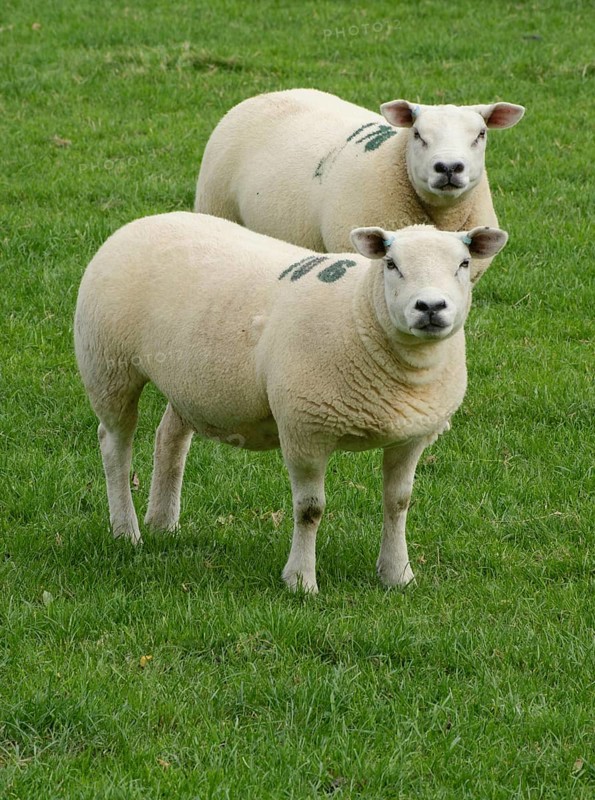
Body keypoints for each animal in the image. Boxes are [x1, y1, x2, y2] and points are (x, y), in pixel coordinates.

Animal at [74, 212, 508, 592]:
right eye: (391, 263)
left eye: (464, 263)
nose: (431, 307)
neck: (360, 312)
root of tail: (145, 221)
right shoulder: (305, 428)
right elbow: (310, 510)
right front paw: (301, 580)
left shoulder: (412, 436)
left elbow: (398, 503)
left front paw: (397, 574)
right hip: (107, 365)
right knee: (115, 446)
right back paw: (126, 530)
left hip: (187, 383)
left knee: (169, 438)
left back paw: (163, 523)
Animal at [194, 88, 522, 281]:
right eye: (417, 134)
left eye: (481, 134)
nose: (449, 167)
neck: (442, 216)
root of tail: (264, 95)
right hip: (216, 205)